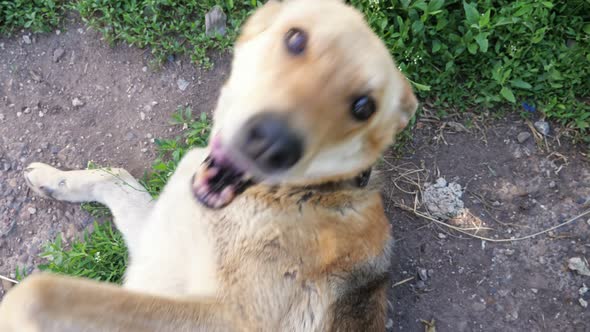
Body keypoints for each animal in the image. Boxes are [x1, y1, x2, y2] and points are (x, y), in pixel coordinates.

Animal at [0, 0, 418, 330]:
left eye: (363, 107)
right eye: (296, 39)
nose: (272, 143)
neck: (294, 195)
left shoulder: (230, 318)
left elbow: (37, 292)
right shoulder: (155, 247)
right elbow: (115, 177)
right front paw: (54, 179)